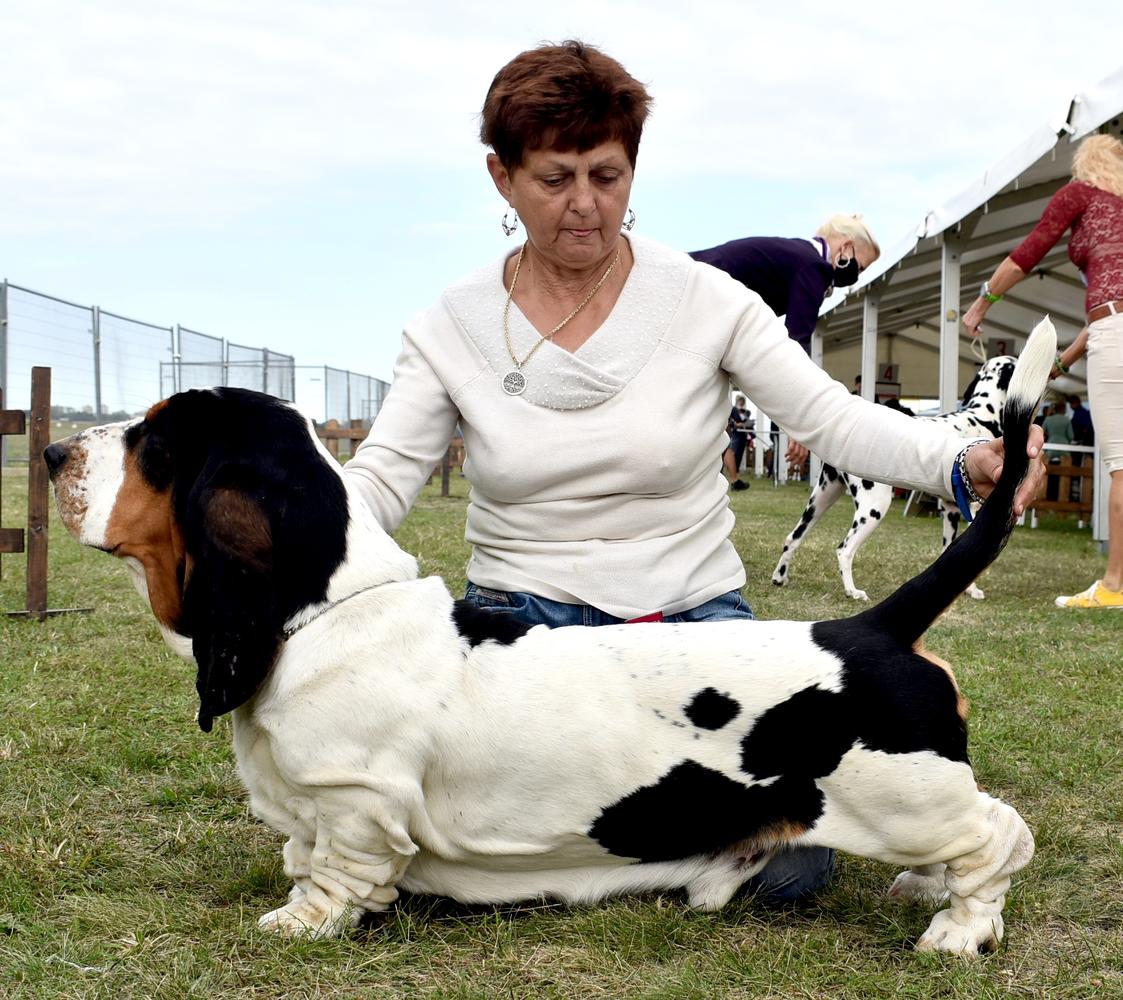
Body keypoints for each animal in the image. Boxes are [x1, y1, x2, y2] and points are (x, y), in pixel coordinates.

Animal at [772, 352, 1019, 602]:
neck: (982, 415)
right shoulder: (975, 511)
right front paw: (973, 590)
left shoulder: (950, 510)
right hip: (874, 508)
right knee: (844, 550)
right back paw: (852, 591)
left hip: (819, 502)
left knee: (793, 538)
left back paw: (780, 576)